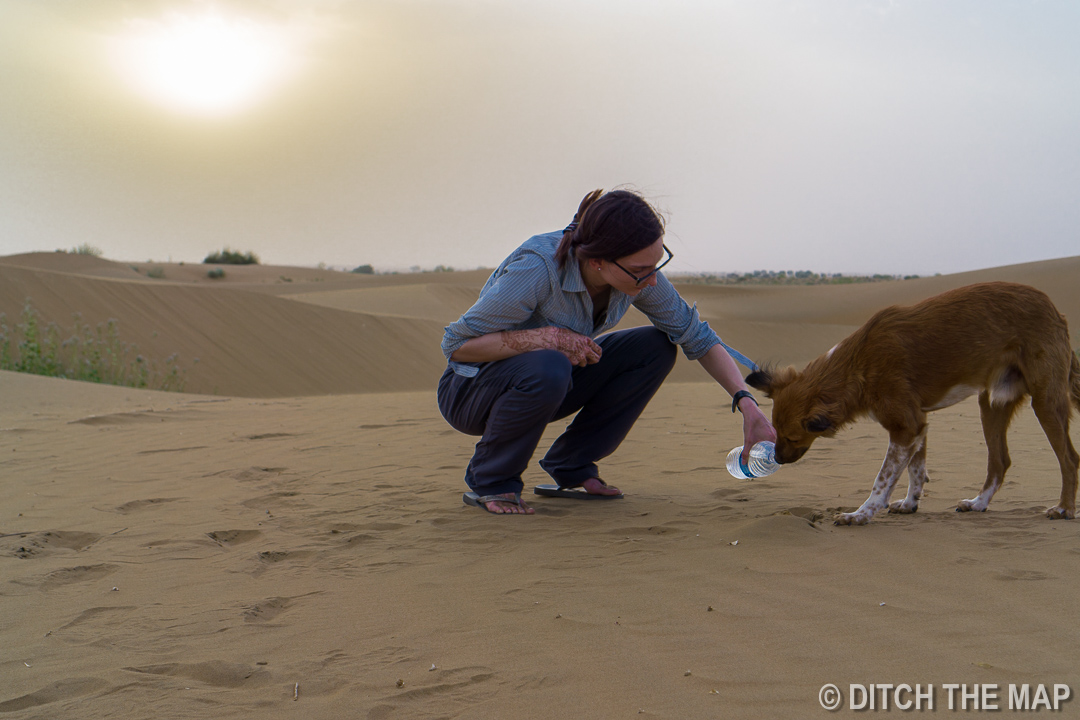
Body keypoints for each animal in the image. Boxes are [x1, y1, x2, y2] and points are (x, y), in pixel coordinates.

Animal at [747, 284, 1080, 526]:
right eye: (774, 431)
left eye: (791, 438)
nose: (777, 459)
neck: (857, 362)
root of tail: (1056, 311)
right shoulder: (916, 424)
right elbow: (915, 470)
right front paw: (910, 504)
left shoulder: (906, 427)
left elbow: (883, 479)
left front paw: (860, 514)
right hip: (992, 402)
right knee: (1000, 461)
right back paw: (978, 503)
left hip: (1045, 400)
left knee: (1069, 459)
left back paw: (1064, 509)